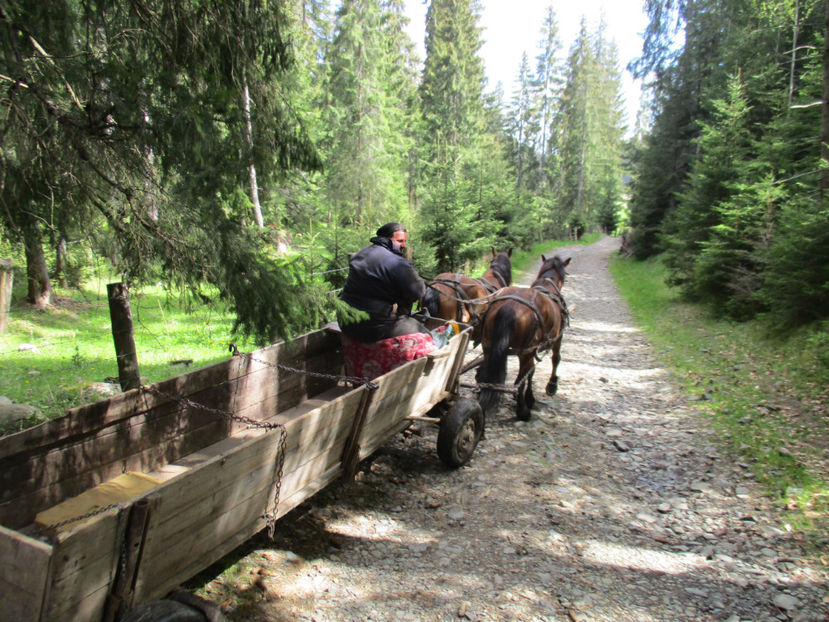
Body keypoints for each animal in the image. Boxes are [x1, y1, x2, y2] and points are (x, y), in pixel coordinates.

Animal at [472, 255, 568, 424]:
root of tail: (510, 306)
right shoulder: (557, 338)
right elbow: (555, 359)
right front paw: (550, 387)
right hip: (525, 353)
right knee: (519, 381)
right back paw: (523, 411)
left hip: (488, 346)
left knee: (486, 376)